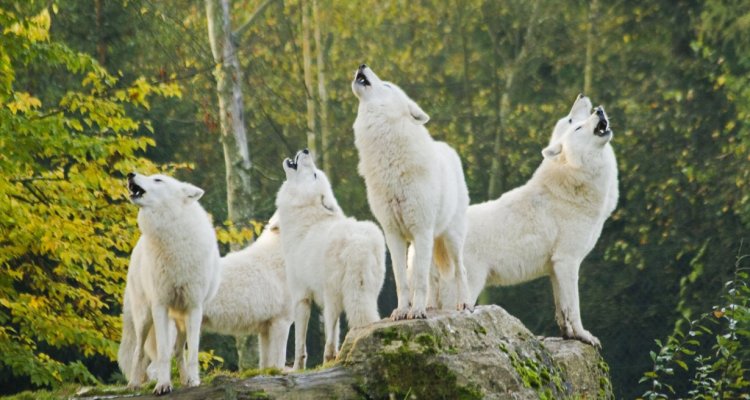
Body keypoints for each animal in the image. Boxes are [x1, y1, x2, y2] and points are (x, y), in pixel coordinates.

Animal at [118, 173, 220, 394]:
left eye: (158, 180)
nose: (130, 174)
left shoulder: (194, 307)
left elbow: (192, 353)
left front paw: (194, 381)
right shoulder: (160, 306)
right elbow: (163, 354)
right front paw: (163, 385)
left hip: (180, 321)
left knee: (179, 351)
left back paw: (185, 380)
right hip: (145, 318)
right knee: (139, 351)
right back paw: (134, 383)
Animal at [280, 149, 390, 368]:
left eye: (315, 174)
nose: (305, 150)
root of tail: (359, 244)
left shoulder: (301, 297)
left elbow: (299, 344)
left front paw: (297, 369)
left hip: (332, 298)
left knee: (330, 338)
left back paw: (329, 361)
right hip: (367, 291)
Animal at [352, 64, 470, 320]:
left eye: (387, 85)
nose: (362, 65)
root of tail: (448, 149)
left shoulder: (421, 229)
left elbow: (420, 280)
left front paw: (415, 312)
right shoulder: (393, 234)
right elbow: (402, 280)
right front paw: (402, 311)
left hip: (450, 237)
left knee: (459, 270)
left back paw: (463, 304)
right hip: (422, 244)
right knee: (431, 275)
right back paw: (431, 306)